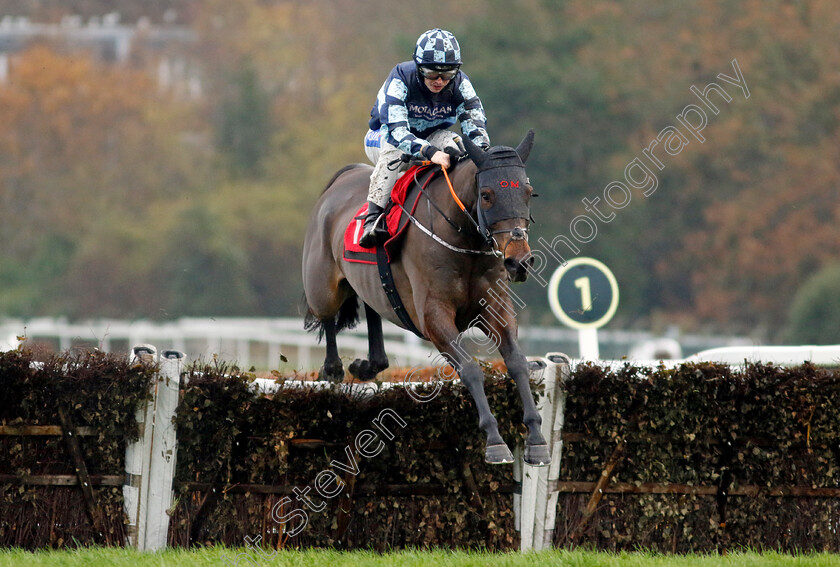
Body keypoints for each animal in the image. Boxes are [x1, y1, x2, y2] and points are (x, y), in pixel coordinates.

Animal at [302, 132, 552, 466]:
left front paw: (536, 439)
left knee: (372, 310)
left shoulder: (495, 309)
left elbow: (517, 363)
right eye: (486, 195)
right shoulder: (434, 316)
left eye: (528, 192)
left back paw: (368, 365)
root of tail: (340, 179)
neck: (463, 238)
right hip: (322, 284)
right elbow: (470, 369)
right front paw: (495, 442)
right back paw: (332, 369)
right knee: (328, 316)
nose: (519, 262)